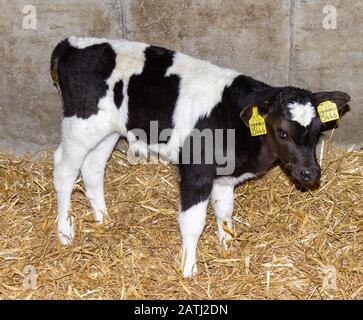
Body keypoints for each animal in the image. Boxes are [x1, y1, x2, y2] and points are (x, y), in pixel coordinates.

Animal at [51, 37, 350, 278]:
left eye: (317, 130)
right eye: (282, 132)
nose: (310, 173)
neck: (236, 124)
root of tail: (71, 44)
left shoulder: (224, 177)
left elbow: (224, 212)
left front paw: (227, 248)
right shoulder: (196, 171)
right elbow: (193, 222)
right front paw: (187, 269)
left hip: (107, 131)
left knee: (92, 169)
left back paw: (103, 219)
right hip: (80, 126)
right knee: (64, 171)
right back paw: (65, 232)